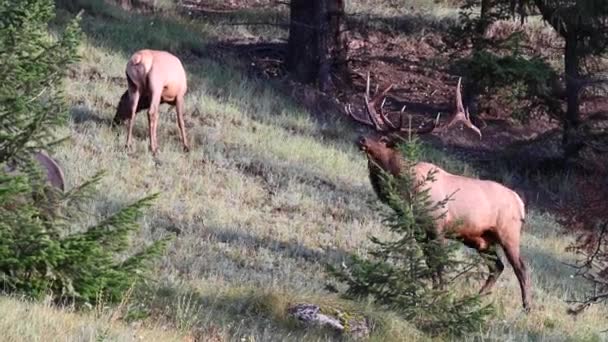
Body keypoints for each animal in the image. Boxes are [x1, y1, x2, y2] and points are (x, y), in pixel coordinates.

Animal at [350, 76, 528, 312]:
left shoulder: (437, 226)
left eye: (384, 140)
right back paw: (475, 299)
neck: (407, 191)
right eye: (372, 132)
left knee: (520, 268)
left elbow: (439, 264)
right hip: (480, 238)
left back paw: (526, 308)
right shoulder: (419, 230)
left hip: (508, 232)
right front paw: (431, 293)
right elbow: (429, 263)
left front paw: (440, 296)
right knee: (497, 266)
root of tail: (520, 203)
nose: (361, 139)